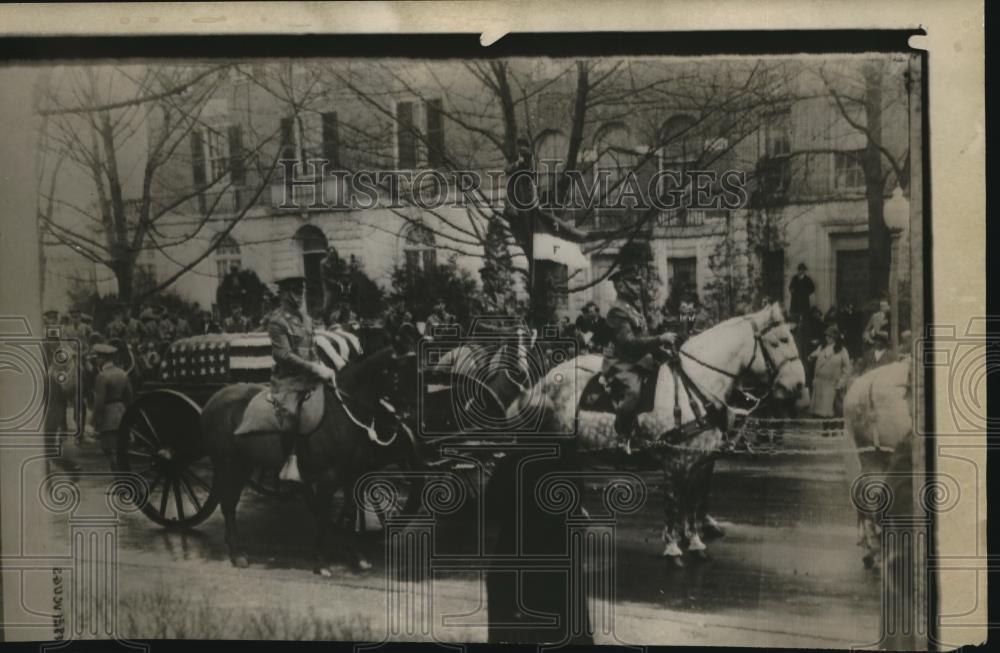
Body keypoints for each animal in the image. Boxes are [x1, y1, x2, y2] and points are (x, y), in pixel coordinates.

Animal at [201, 328, 420, 568]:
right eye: (404, 368)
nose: (418, 416)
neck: (342, 412)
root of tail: (214, 399)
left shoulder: (352, 475)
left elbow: (351, 512)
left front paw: (357, 555)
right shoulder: (328, 477)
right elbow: (323, 515)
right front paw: (321, 561)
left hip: (243, 464)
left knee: (230, 502)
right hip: (227, 463)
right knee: (228, 504)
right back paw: (236, 553)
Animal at [508, 304, 804, 564]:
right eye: (780, 341)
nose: (799, 386)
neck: (697, 385)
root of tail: (543, 381)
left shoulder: (701, 461)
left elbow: (694, 501)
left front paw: (694, 541)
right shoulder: (676, 461)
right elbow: (675, 502)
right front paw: (673, 547)